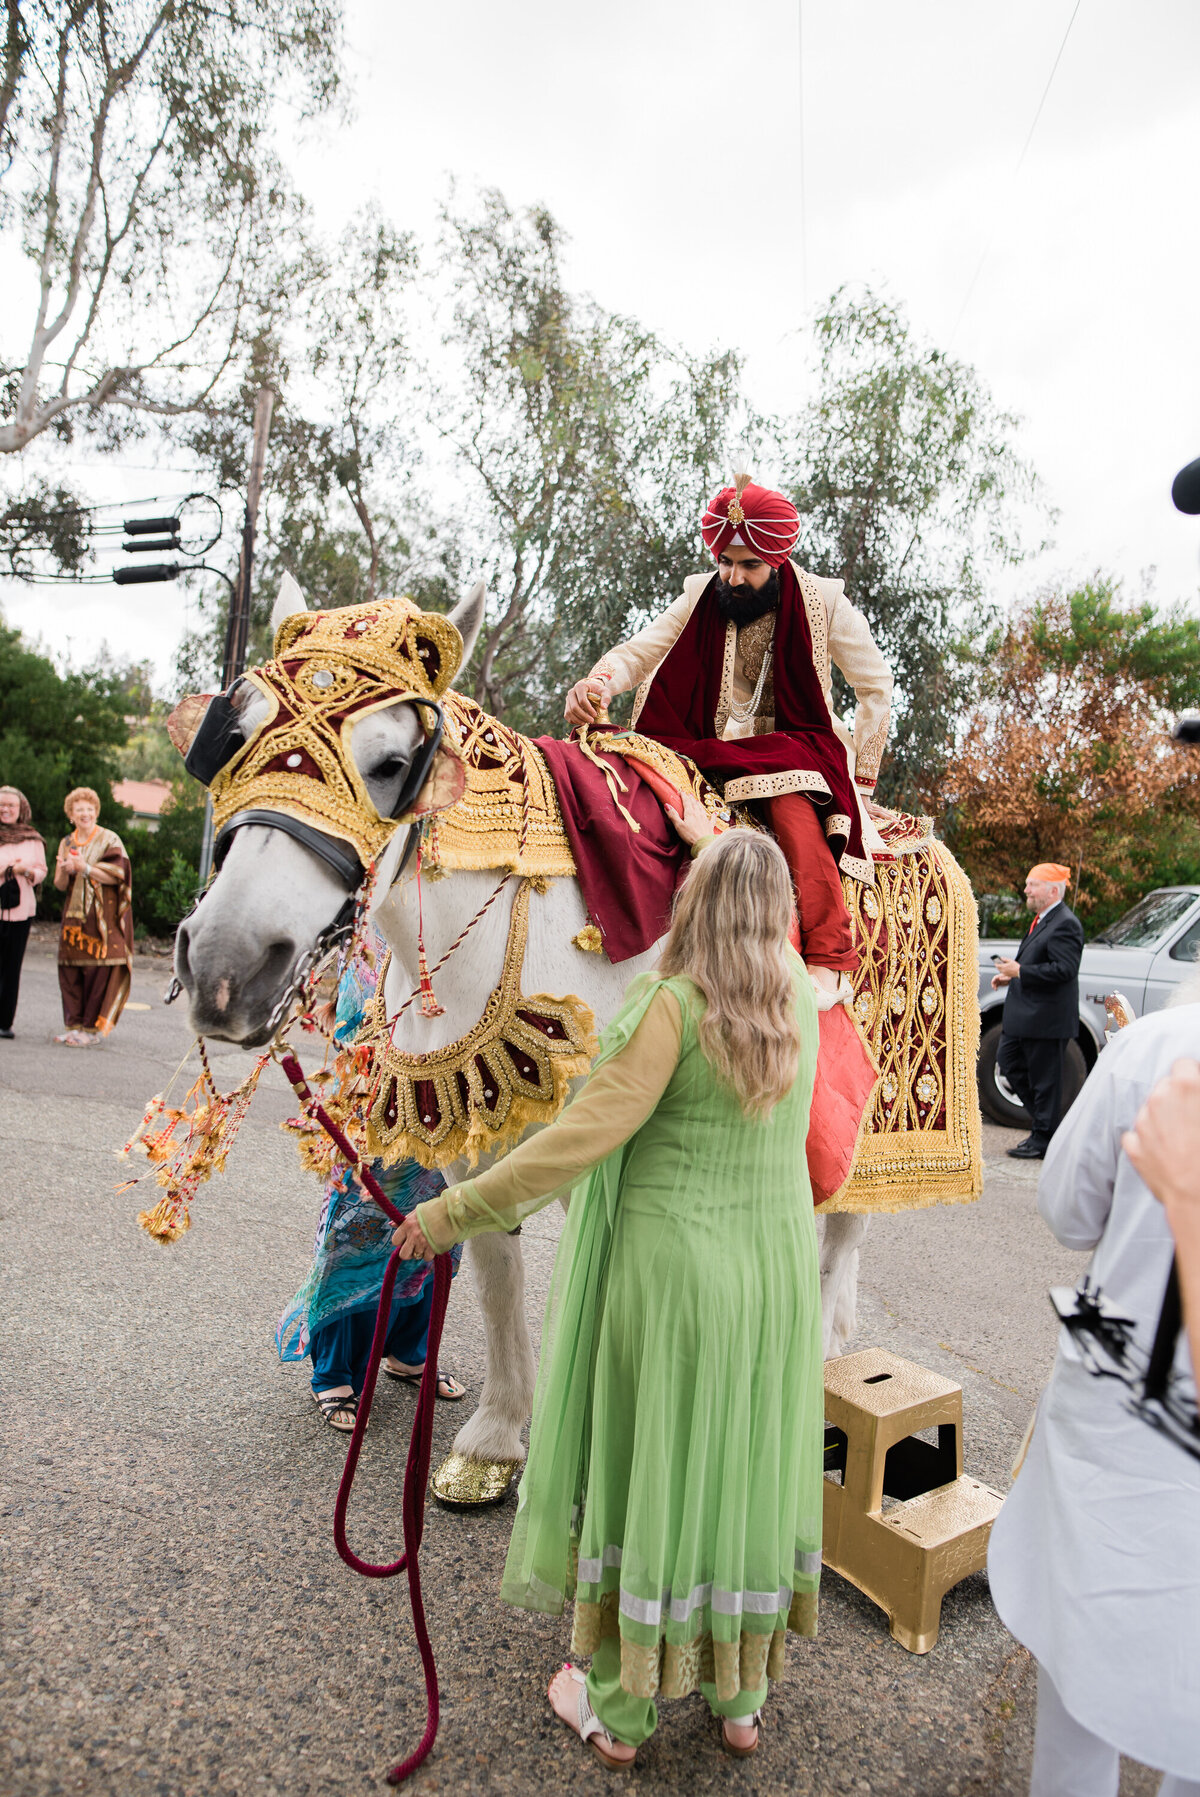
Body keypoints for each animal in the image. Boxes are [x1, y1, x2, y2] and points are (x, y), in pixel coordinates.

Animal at [176, 582, 862, 1495]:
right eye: (236, 741)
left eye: (392, 764)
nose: (225, 966)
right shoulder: (478, 1143)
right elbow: (496, 1273)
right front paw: (496, 1444)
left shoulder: (602, 1144)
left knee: (842, 1233)